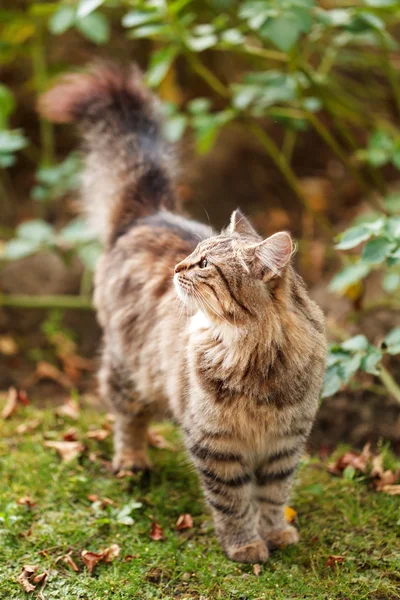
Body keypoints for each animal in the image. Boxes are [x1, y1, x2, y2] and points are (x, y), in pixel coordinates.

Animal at [39, 63, 328, 564]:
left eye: (205, 264)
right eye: (195, 253)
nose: (178, 267)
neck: (253, 354)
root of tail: (149, 214)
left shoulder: (284, 445)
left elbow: (273, 497)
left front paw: (275, 534)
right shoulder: (215, 443)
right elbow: (233, 501)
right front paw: (245, 545)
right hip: (129, 370)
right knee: (127, 419)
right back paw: (133, 463)